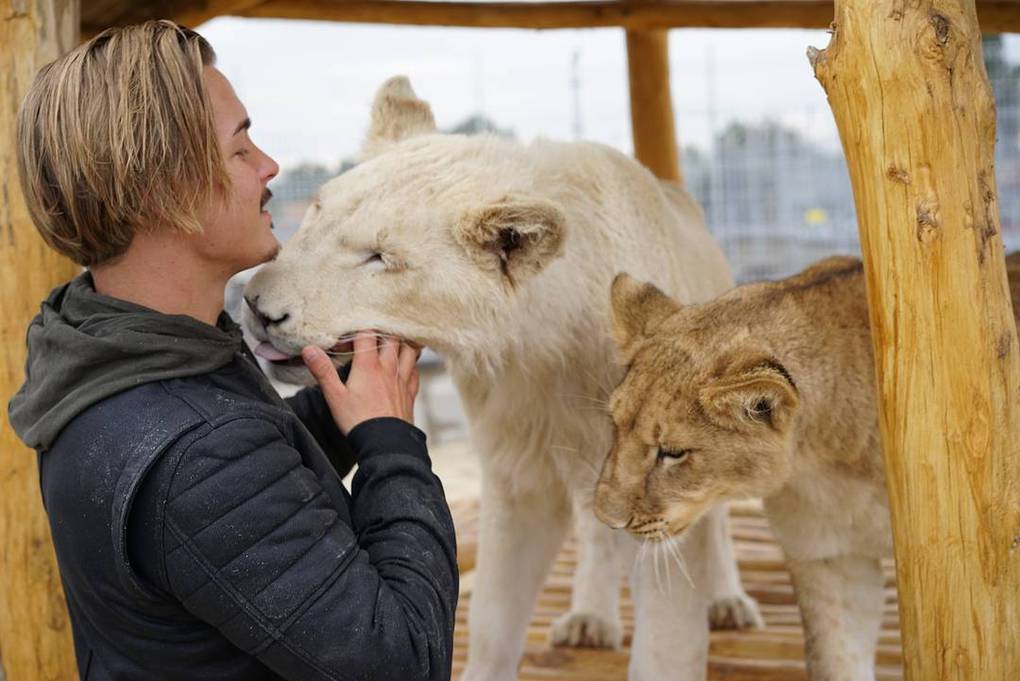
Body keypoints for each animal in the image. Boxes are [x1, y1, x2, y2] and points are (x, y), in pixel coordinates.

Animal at [244, 75, 758, 681]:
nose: (257, 308)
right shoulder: (520, 474)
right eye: (316, 213)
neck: (545, 356)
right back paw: (589, 619)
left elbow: (666, 641)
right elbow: (492, 617)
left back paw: (728, 604)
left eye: (380, 257)